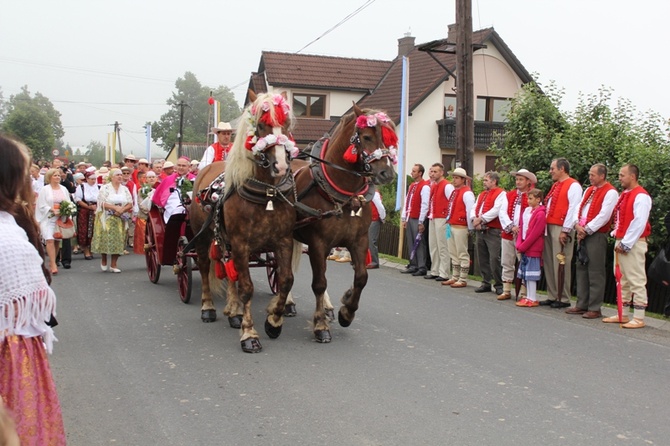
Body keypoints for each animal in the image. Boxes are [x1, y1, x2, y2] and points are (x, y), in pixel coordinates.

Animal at [193, 92, 300, 354]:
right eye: (260, 126)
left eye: (286, 126)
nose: (281, 166)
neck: (266, 194)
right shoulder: (242, 244)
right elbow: (247, 287)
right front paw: (249, 334)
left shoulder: (283, 241)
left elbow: (285, 280)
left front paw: (273, 322)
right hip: (202, 237)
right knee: (204, 267)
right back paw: (208, 308)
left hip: (226, 241)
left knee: (229, 272)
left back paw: (234, 312)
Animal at [292, 104, 396, 342]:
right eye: (366, 137)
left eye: (387, 138)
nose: (387, 173)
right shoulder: (317, 244)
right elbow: (319, 283)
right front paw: (320, 325)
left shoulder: (359, 241)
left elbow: (361, 277)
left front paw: (347, 310)